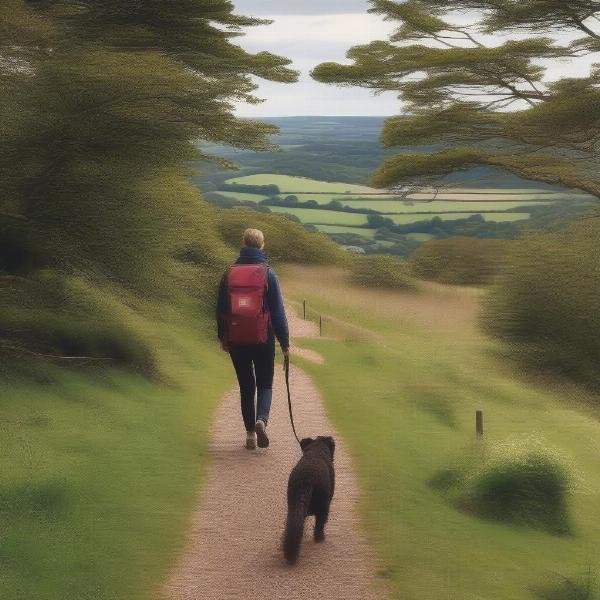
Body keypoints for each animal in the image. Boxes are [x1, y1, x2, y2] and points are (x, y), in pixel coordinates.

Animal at [284, 436, 336, 564]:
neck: (317, 450)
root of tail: (307, 479)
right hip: (323, 507)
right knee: (319, 525)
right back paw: (320, 539)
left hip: (293, 505)